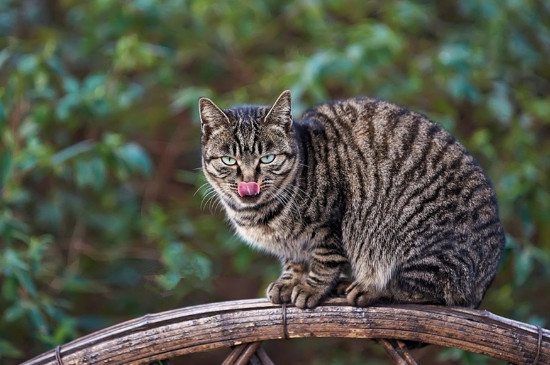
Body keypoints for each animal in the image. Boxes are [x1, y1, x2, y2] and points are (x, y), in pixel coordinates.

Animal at [201, 89, 506, 308]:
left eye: (267, 158)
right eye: (229, 160)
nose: (248, 182)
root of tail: (485, 281)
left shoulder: (330, 224)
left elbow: (325, 260)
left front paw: (310, 288)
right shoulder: (291, 246)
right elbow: (293, 261)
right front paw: (288, 282)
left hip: (420, 243)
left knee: (426, 290)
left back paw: (367, 288)